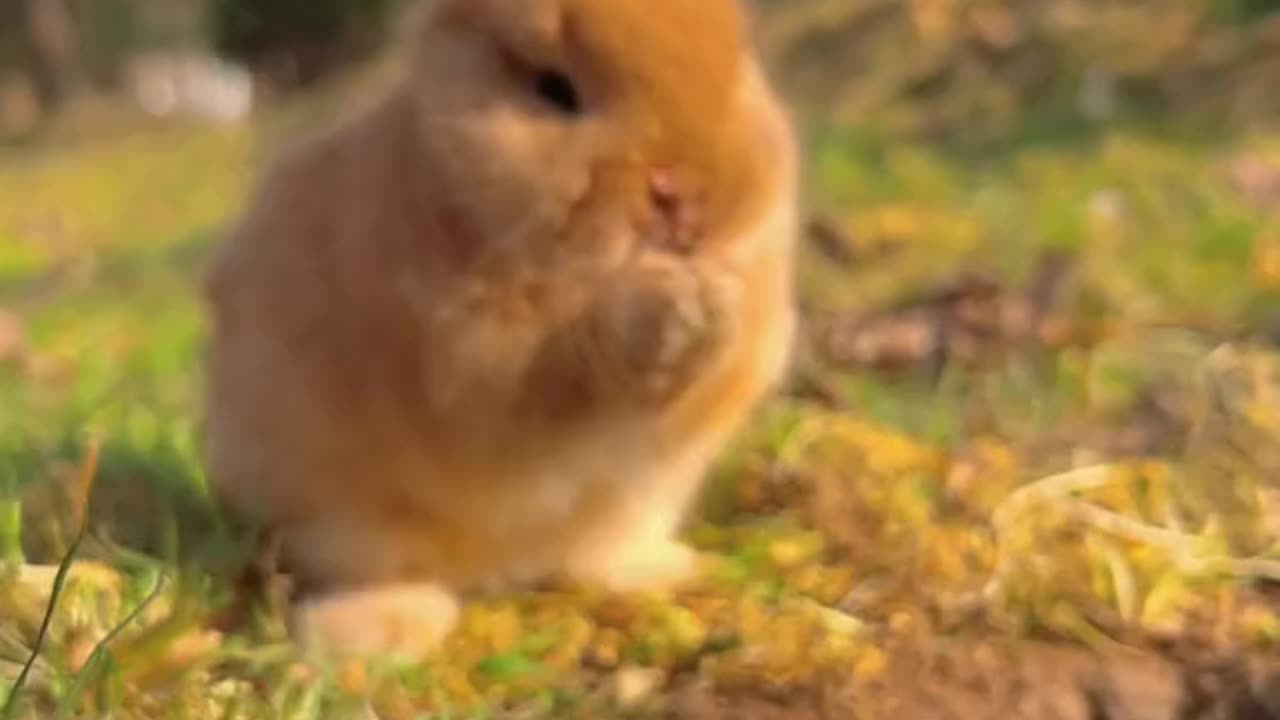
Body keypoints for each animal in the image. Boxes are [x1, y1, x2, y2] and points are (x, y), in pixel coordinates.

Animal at [200, 0, 798, 655]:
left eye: (738, 59)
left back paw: (662, 571)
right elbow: (551, 376)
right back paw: (383, 632)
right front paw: (663, 306)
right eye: (555, 90)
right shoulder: (469, 365)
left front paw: (715, 303)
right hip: (337, 512)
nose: (686, 194)